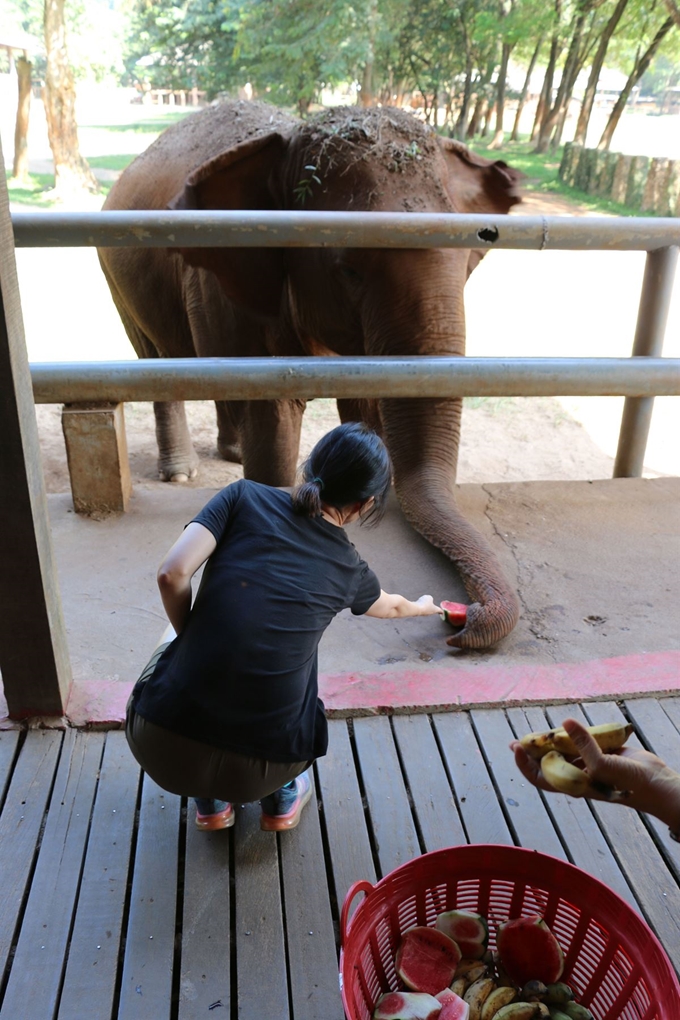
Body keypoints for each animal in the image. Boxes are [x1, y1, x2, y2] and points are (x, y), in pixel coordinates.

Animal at [98, 99, 521, 648]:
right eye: (349, 269)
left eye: (470, 260)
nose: (463, 618)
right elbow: (273, 416)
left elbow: (361, 407)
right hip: (118, 280)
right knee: (155, 360)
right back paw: (182, 472)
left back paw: (230, 453)